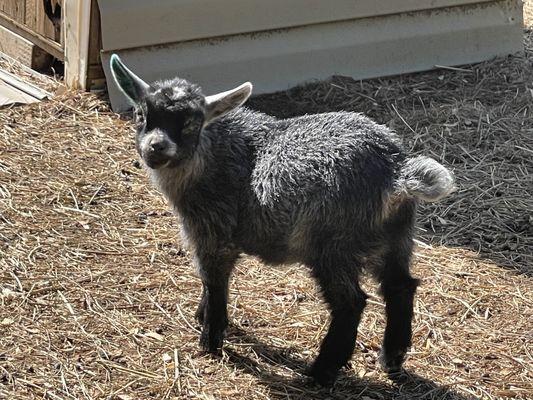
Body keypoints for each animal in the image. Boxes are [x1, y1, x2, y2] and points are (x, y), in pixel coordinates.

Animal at [110, 54, 456, 386]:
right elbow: (209, 283)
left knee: (351, 303)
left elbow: (214, 281)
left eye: (190, 123)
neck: (214, 153)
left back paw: (321, 372)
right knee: (400, 286)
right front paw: (201, 315)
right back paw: (391, 359)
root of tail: (396, 171)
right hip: (396, 238)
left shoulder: (214, 233)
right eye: (141, 115)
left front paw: (210, 339)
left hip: (332, 245)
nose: (156, 147)